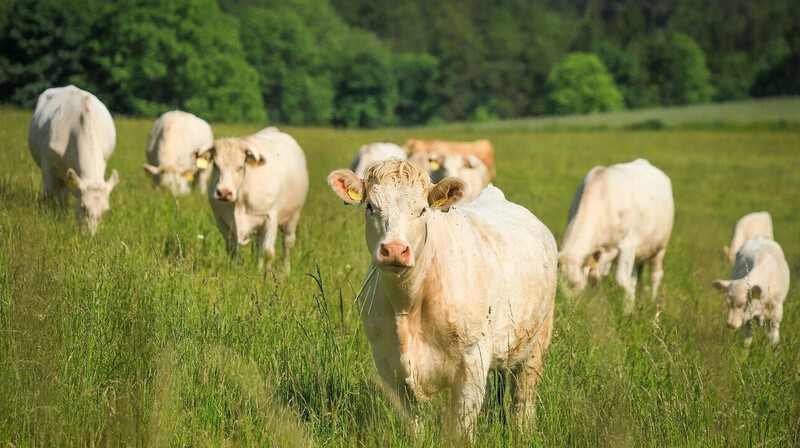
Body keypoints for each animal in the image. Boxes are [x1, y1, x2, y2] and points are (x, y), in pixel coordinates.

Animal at [27, 85, 118, 236]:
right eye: (83, 207)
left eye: (105, 211)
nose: (89, 236)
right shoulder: (47, 165)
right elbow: (48, 194)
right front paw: (47, 218)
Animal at [196, 128, 310, 272]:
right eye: (216, 166)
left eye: (240, 167)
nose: (224, 193)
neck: (240, 198)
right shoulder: (221, 220)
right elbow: (232, 249)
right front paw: (233, 270)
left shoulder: (270, 219)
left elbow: (268, 253)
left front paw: (267, 276)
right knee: (258, 245)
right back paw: (259, 268)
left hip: (292, 217)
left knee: (287, 243)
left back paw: (286, 271)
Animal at [324, 159, 556, 436]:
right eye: (370, 206)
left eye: (422, 210)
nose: (394, 250)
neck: (408, 305)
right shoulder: (387, 363)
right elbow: (414, 424)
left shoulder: (471, 362)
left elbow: (461, 428)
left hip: (536, 341)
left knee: (524, 397)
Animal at [556, 159, 676, 314]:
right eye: (558, 286)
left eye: (575, 284)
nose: (568, 310)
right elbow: (596, 279)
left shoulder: (628, 245)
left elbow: (621, 281)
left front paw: (627, 311)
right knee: (635, 278)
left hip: (660, 248)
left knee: (655, 275)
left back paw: (652, 301)